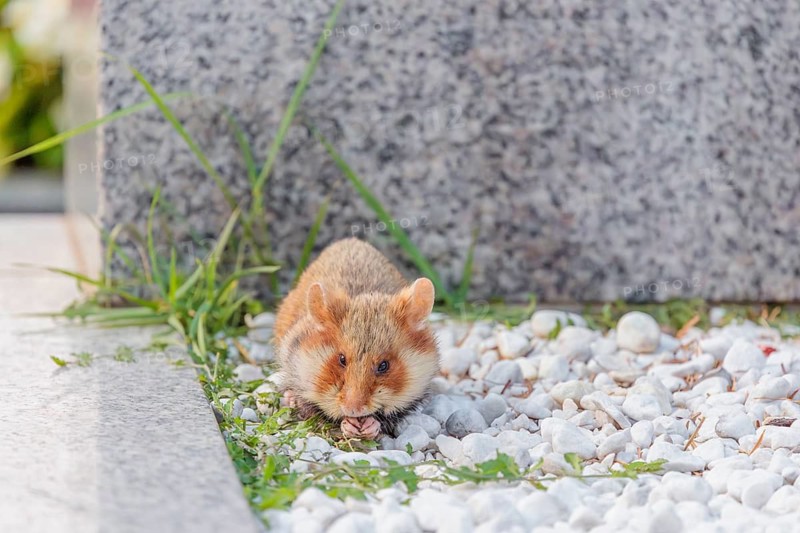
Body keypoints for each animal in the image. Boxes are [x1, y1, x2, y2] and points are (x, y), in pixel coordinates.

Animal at [274, 238, 439, 439]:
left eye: (384, 365)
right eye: (341, 359)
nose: (353, 410)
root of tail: (350, 240)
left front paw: (368, 426)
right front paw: (349, 425)